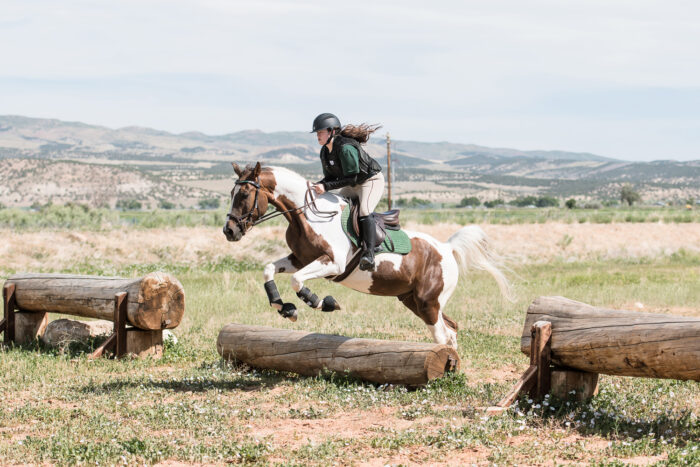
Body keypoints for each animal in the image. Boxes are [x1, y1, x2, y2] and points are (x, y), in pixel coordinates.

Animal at [223, 162, 512, 349]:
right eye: (232, 193)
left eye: (245, 194)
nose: (229, 231)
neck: (306, 215)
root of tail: (446, 248)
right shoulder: (299, 259)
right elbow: (269, 269)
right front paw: (285, 308)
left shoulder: (333, 264)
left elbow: (298, 282)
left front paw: (323, 302)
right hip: (413, 300)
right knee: (450, 330)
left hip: (428, 301)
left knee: (442, 335)